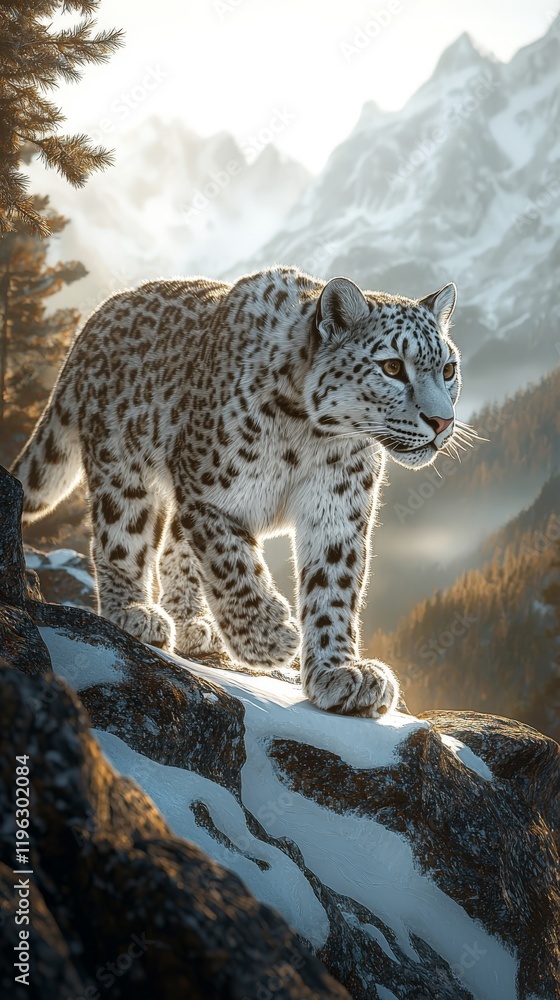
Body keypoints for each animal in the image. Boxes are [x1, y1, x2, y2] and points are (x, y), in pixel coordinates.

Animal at [12, 265, 464, 718]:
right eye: (392, 367)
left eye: (448, 369)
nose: (442, 420)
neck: (312, 435)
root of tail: (93, 321)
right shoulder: (210, 495)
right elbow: (230, 560)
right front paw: (268, 638)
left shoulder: (338, 511)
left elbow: (333, 588)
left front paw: (338, 671)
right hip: (121, 464)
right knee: (121, 537)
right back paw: (134, 612)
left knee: (174, 546)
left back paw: (192, 623)